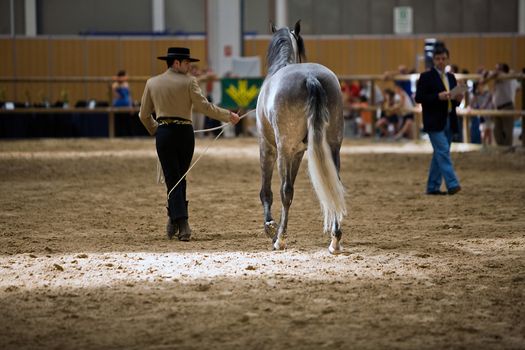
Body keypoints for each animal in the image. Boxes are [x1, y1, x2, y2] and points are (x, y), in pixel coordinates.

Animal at [255, 20, 346, 253]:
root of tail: (310, 77)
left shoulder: (268, 148)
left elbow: (267, 191)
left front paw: (270, 227)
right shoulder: (297, 153)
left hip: (283, 150)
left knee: (284, 191)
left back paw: (280, 239)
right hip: (332, 147)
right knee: (335, 187)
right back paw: (335, 240)